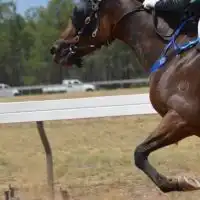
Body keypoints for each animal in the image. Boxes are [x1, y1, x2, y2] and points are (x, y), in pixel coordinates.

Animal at [50, 0, 200, 193]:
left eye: (78, 13)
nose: (56, 49)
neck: (175, 55)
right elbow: (140, 154)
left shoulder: (181, 117)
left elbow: (139, 153)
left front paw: (181, 182)